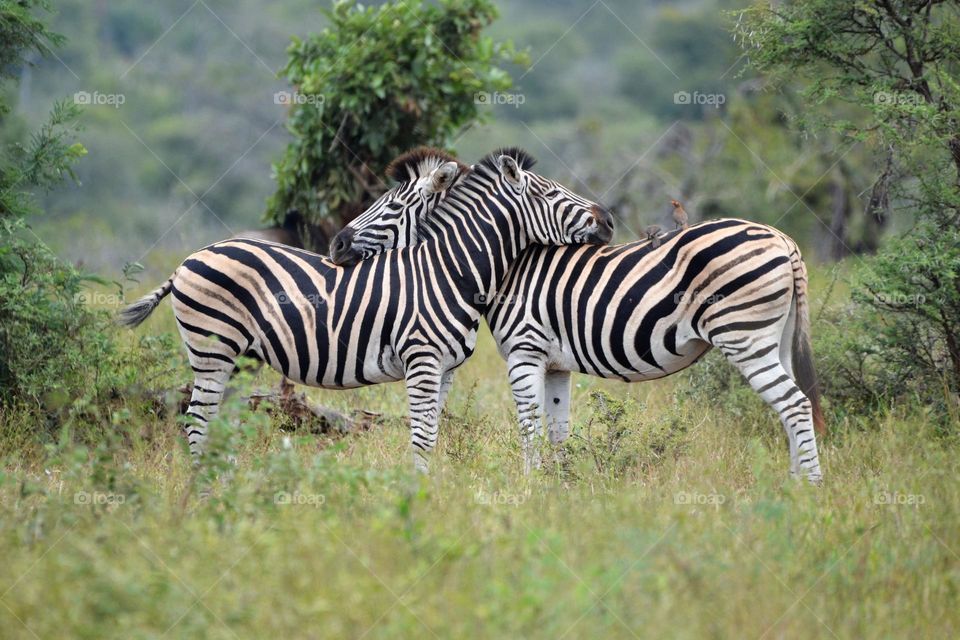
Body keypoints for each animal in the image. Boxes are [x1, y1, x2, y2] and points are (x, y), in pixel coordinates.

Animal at [118, 147, 614, 473]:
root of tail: (188, 260)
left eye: (391, 204)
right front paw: (417, 502)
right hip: (212, 349)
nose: (607, 220)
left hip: (235, 358)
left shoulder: (446, 369)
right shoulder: (421, 360)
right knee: (197, 426)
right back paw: (204, 500)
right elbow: (420, 438)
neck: (448, 270)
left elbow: (432, 434)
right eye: (550, 194)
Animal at [330, 163, 826, 484]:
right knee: (790, 407)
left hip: (743, 335)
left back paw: (811, 490)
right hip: (774, 337)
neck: (508, 267)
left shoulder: (525, 352)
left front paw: (528, 488)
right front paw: (558, 489)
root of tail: (783, 239)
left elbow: (529, 427)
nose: (336, 245)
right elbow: (557, 431)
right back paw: (793, 485)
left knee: (794, 404)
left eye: (391, 207)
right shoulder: (555, 365)